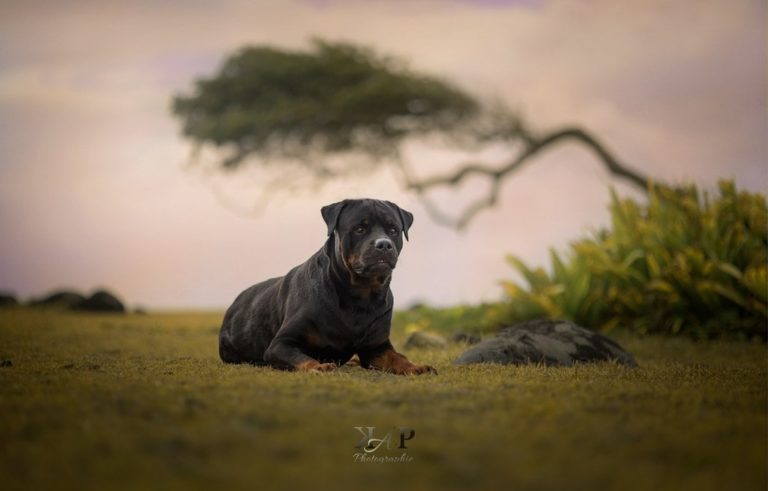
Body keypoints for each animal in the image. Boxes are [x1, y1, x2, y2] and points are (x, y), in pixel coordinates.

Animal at [220, 198, 438, 374]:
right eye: (360, 229)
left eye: (393, 230)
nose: (383, 244)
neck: (359, 296)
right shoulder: (281, 343)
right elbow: (300, 357)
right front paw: (318, 366)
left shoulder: (377, 347)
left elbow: (397, 357)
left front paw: (416, 367)